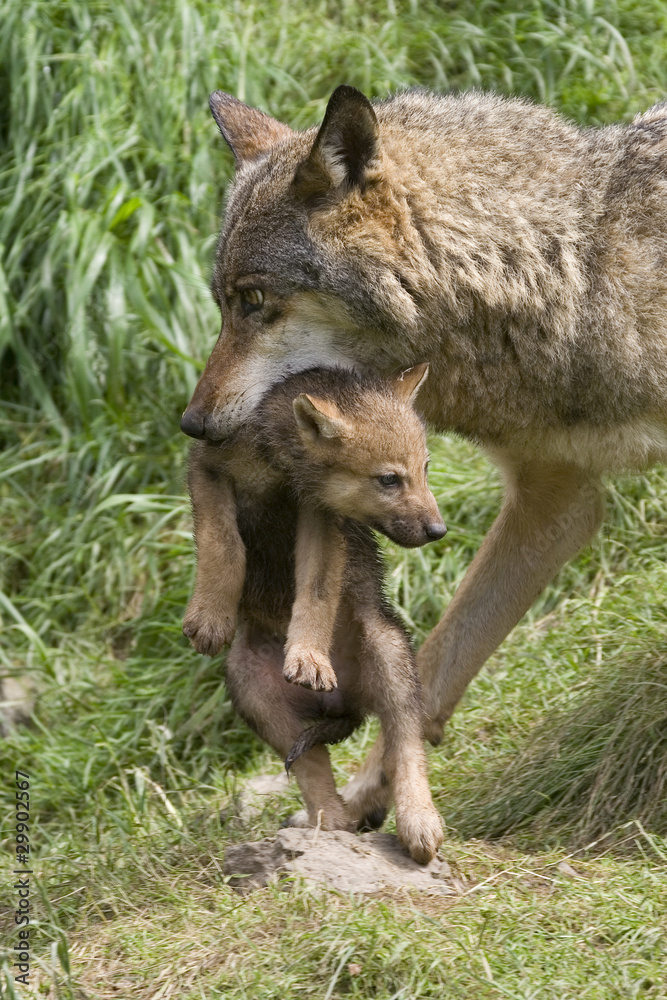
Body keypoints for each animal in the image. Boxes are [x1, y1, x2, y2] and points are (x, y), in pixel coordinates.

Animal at [180, 84, 667, 820]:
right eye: (222, 304)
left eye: (254, 300)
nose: (193, 423)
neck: (575, 270)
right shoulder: (555, 500)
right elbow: (434, 669)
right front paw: (373, 799)